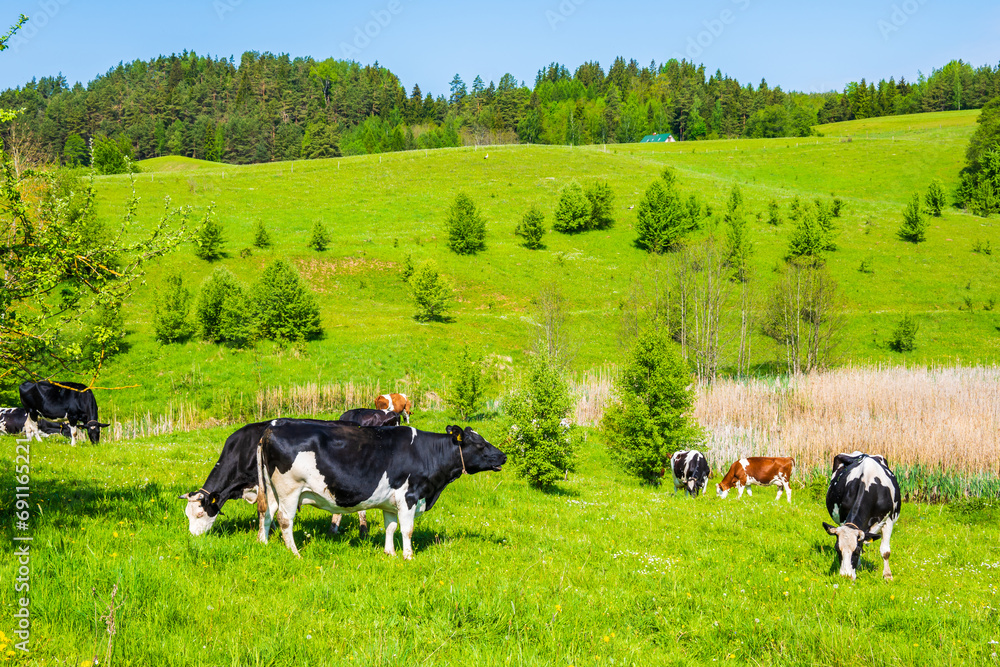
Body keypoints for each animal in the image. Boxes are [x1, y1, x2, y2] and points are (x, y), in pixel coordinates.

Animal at [179, 420, 369, 539]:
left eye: (200, 513)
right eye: (187, 515)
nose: (194, 536)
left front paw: (269, 532)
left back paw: (363, 532)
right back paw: (334, 530)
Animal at [256, 420, 506, 560]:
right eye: (480, 444)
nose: (503, 456)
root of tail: (271, 429)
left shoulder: (391, 501)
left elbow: (391, 527)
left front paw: (390, 553)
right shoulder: (409, 496)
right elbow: (407, 530)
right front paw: (408, 556)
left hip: (272, 489)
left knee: (266, 512)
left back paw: (263, 543)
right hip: (290, 489)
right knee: (285, 519)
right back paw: (295, 553)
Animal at [823, 451, 901, 581]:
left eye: (856, 551)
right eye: (837, 549)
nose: (846, 577)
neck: (869, 484)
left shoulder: (888, 521)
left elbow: (885, 551)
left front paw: (887, 576)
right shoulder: (843, 518)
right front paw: (858, 567)